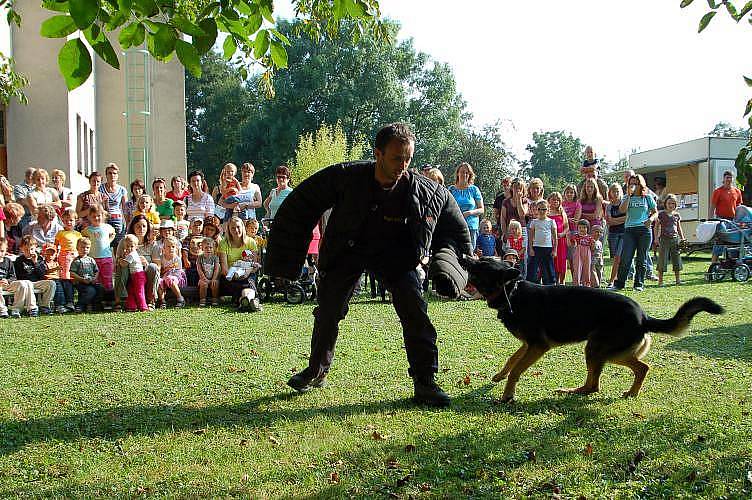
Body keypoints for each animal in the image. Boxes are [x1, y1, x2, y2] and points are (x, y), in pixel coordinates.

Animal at [468, 258, 724, 402]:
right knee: (603, 381)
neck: (511, 292)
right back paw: (583, 391)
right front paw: (499, 376)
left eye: (481, 265)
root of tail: (643, 317)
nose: (464, 256)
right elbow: (511, 360)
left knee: (617, 377)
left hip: (599, 350)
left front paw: (507, 395)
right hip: (605, 352)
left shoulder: (538, 346)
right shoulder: (528, 345)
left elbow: (516, 370)